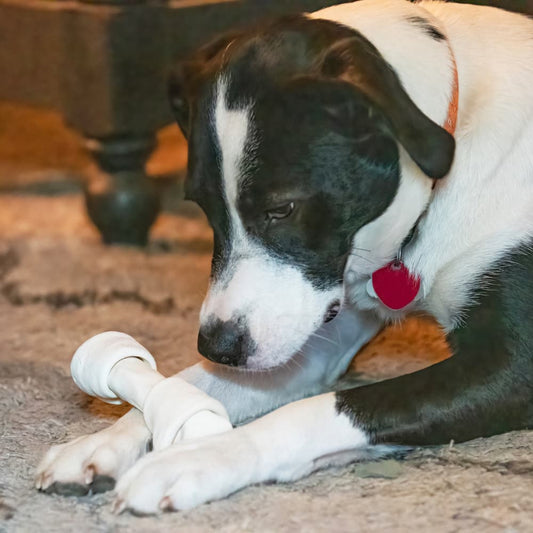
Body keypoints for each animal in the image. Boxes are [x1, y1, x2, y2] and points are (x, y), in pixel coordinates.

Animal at [36, 0, 532, 516]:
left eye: (282, 208)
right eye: (201, 207)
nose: (217, 346)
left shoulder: (514, 368)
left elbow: (322, 409)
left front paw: (204, 457)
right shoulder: (314, 328)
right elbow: (195, 382)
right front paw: (103, 442)